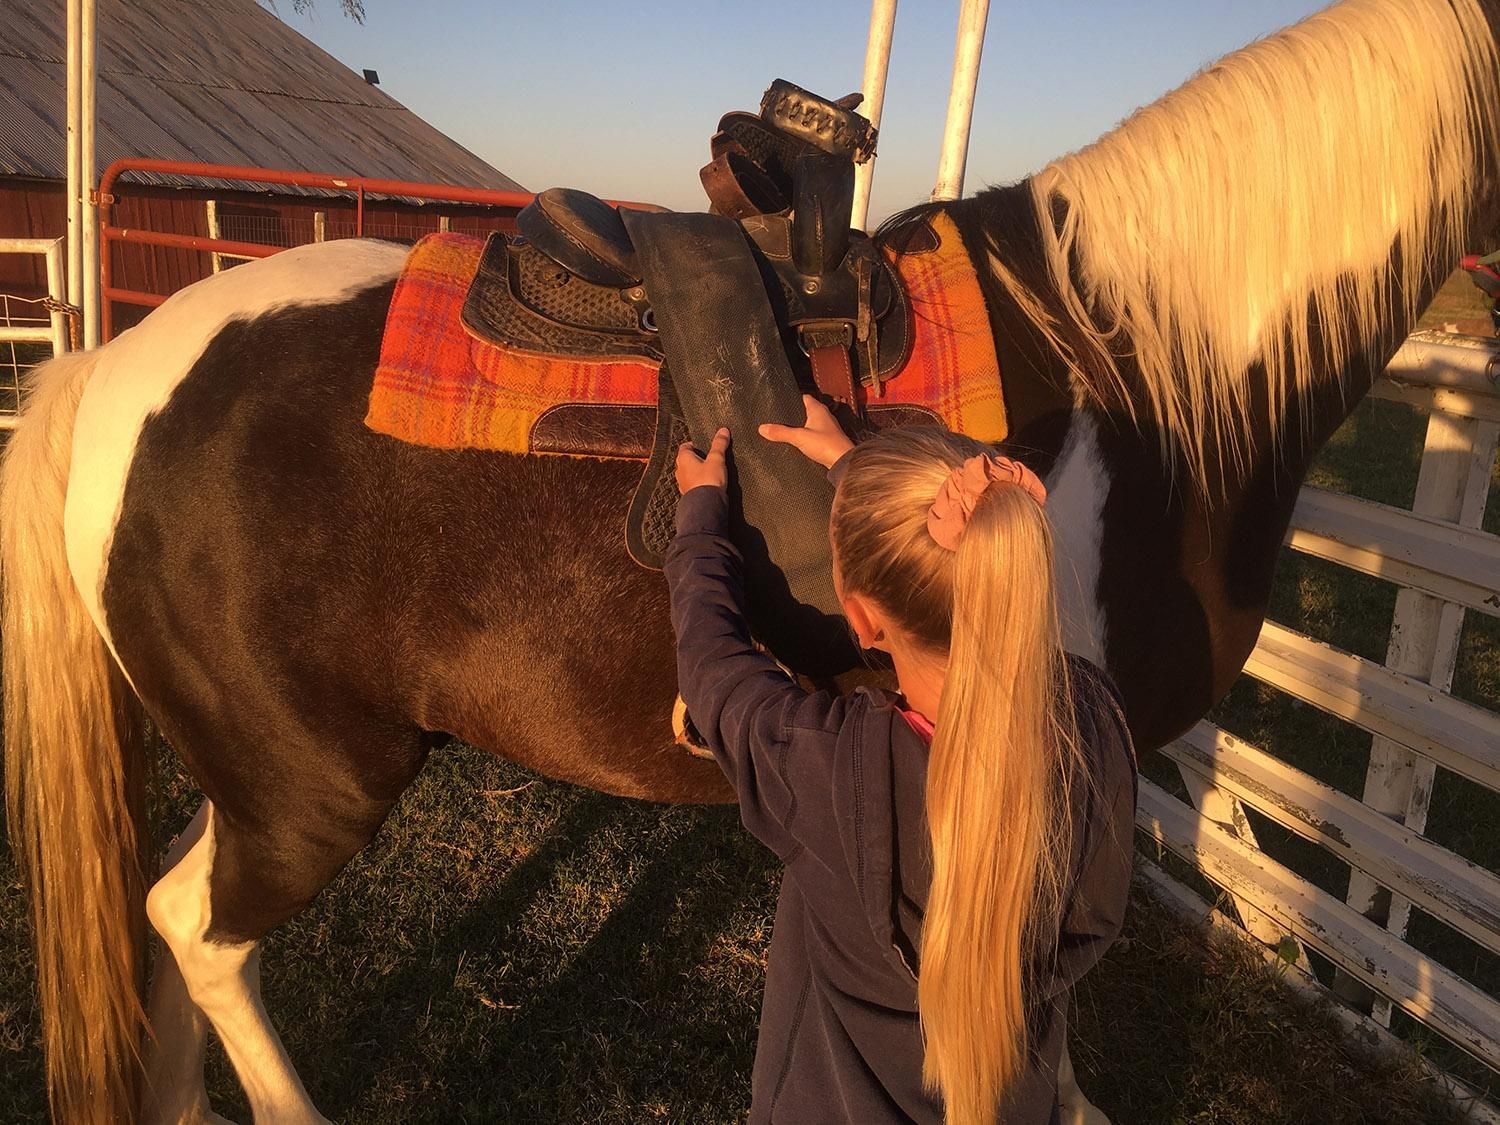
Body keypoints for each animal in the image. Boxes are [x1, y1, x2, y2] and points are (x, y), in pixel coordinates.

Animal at [5, 0, 1498, 1120]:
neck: (1123, 363)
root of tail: (114, 370)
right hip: (315, 783)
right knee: (195, 929)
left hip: (257, 772)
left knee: (169, 920)